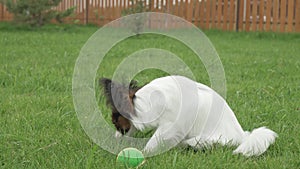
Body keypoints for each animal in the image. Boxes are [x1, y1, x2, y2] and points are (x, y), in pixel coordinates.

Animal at [99, 76, 278, 156]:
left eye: (115, 122)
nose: (114, 139)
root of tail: (242, 137)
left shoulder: (171, 126)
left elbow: (153, 143)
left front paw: (142, 153)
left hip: (202, 140)